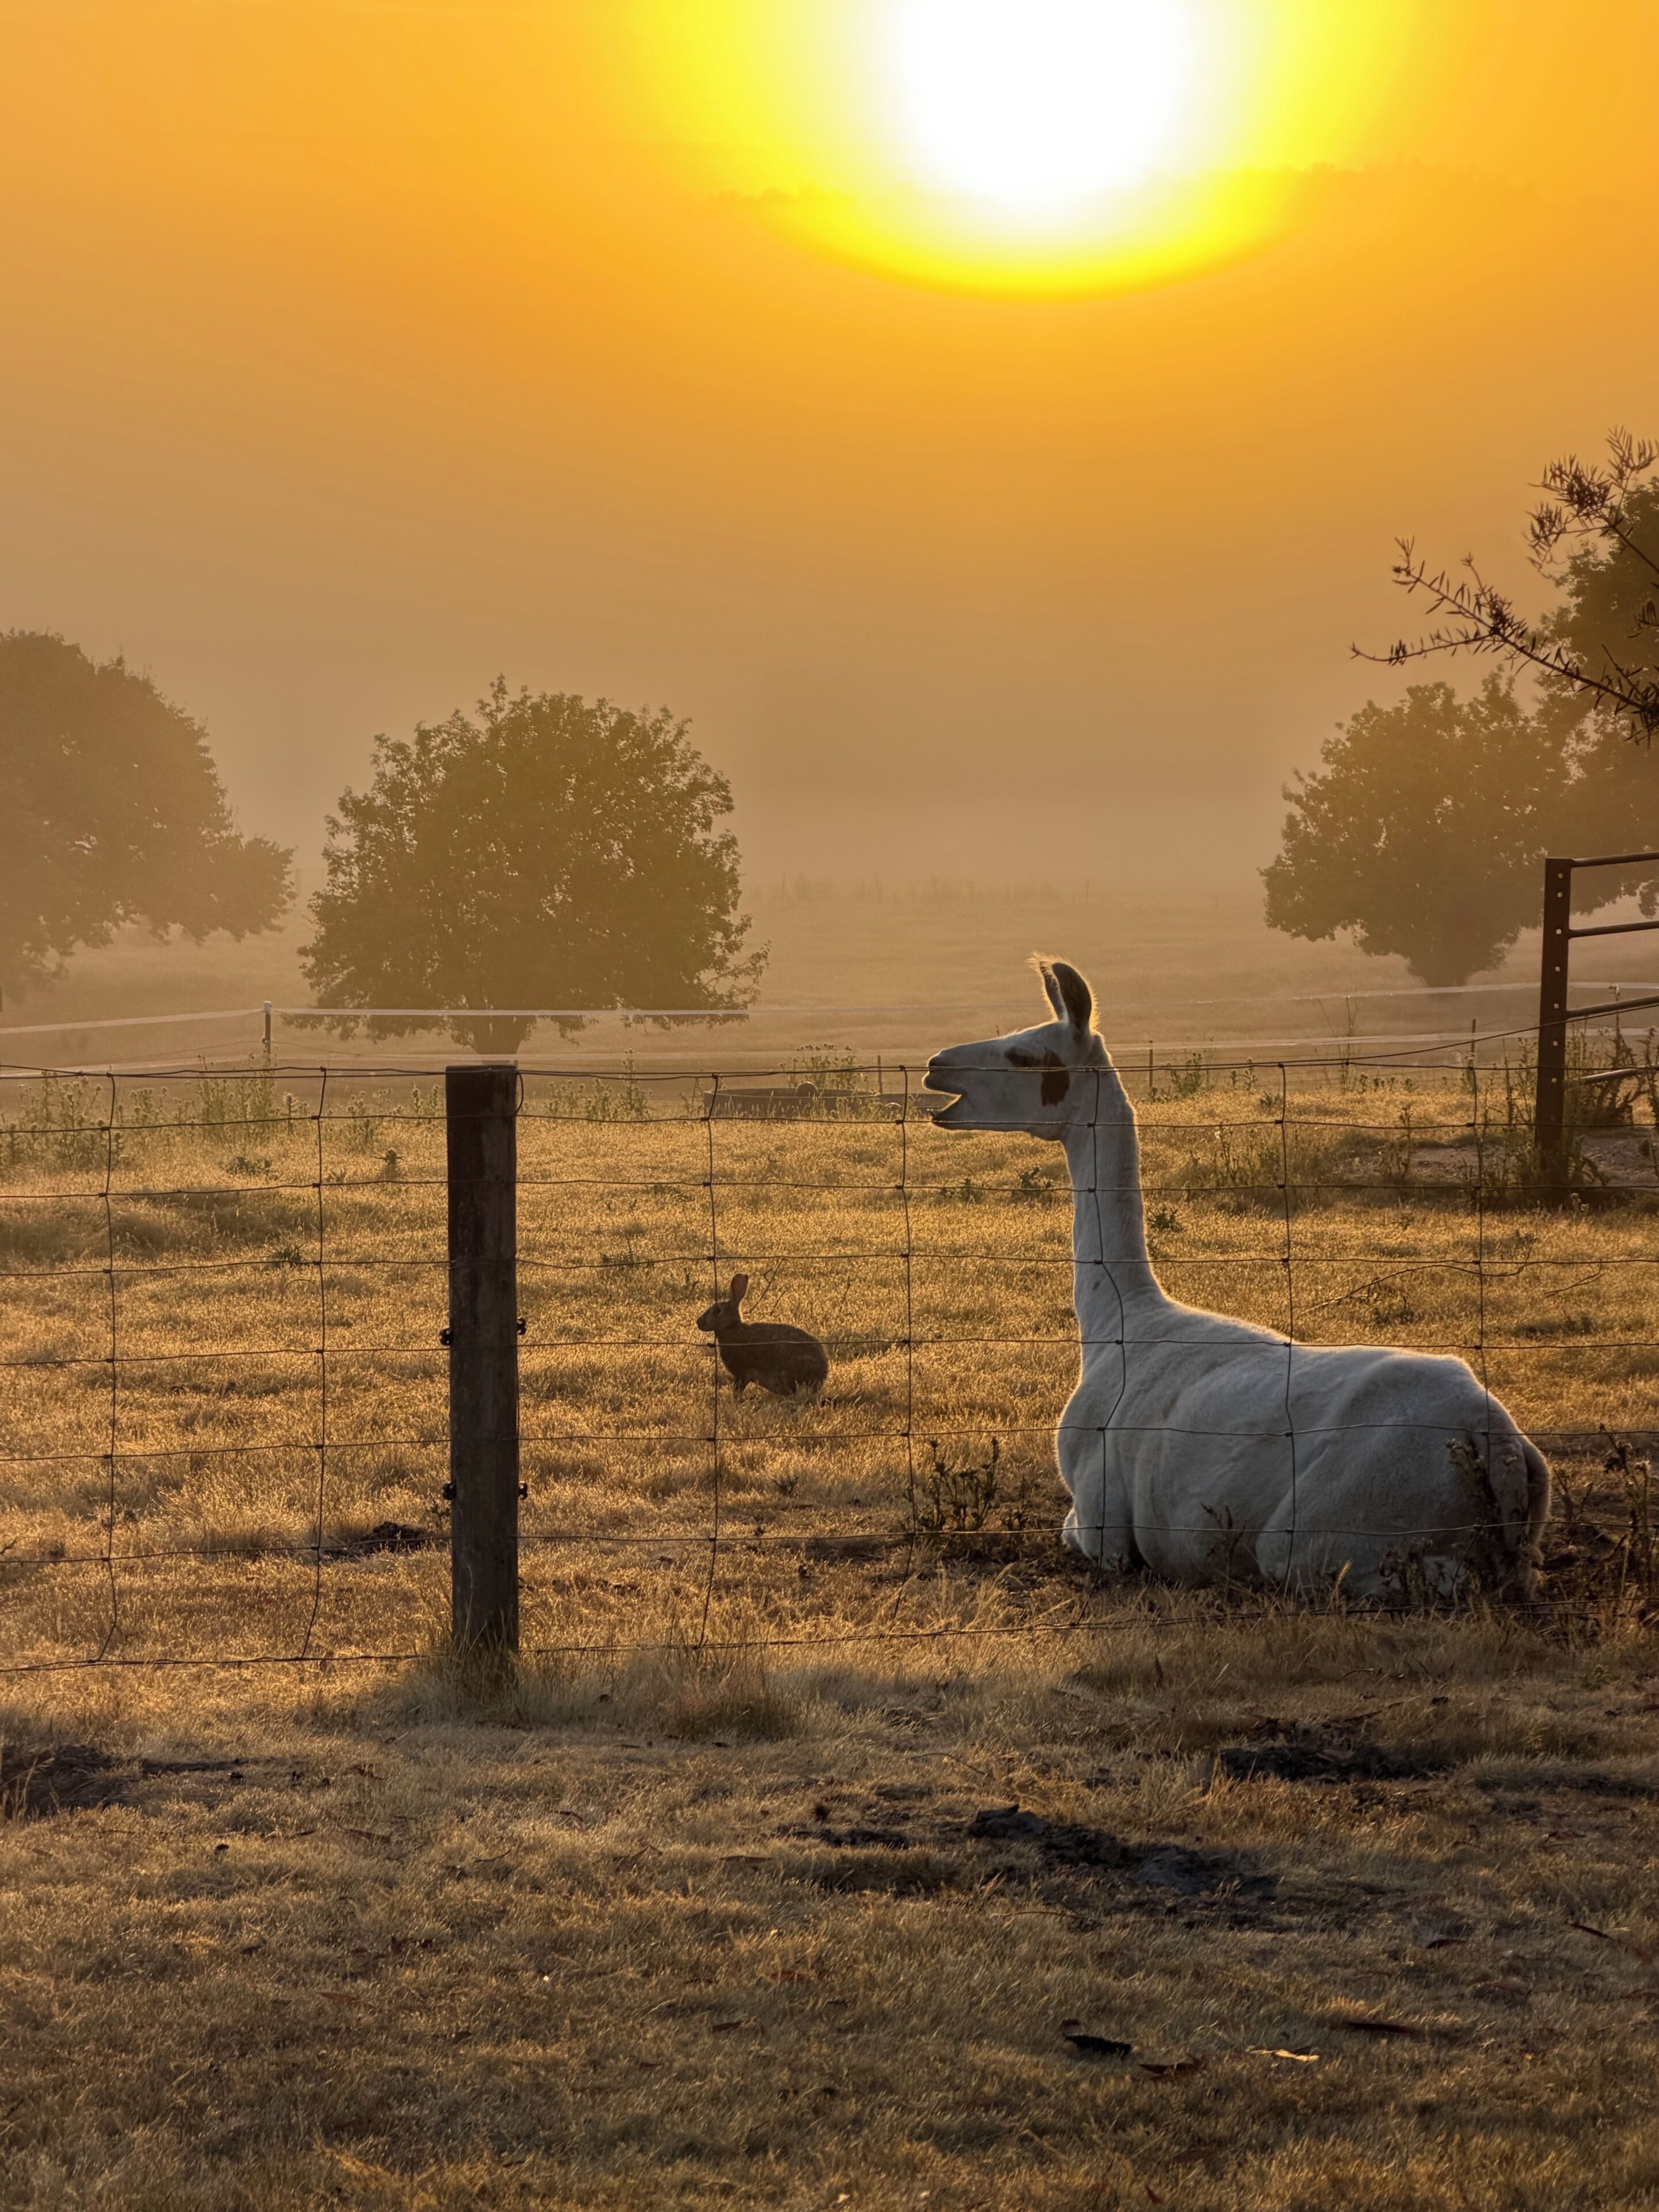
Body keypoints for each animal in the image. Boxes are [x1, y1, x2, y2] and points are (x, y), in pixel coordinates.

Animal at [695, 1273, 829, 1398]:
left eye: (717, 1311)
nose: (699, 1322)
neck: (732, 1328)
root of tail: (821, 1376)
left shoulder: (742, 1373)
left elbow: (739, 1389)